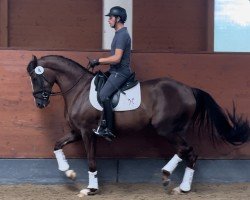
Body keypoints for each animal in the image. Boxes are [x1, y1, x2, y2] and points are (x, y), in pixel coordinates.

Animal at [26, 55, 250, 196]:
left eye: (36, 77)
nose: (40, 103)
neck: (78, 89)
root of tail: (189, 89)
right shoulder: (77, 131)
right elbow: (56, 145)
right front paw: (68, 171)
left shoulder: (87, 132)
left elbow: (91, 160)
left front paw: (91, 189)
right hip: (175, 129)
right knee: (190, 152)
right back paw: (182, 187)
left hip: (166, 128)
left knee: (186, 149)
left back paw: (167, 174)